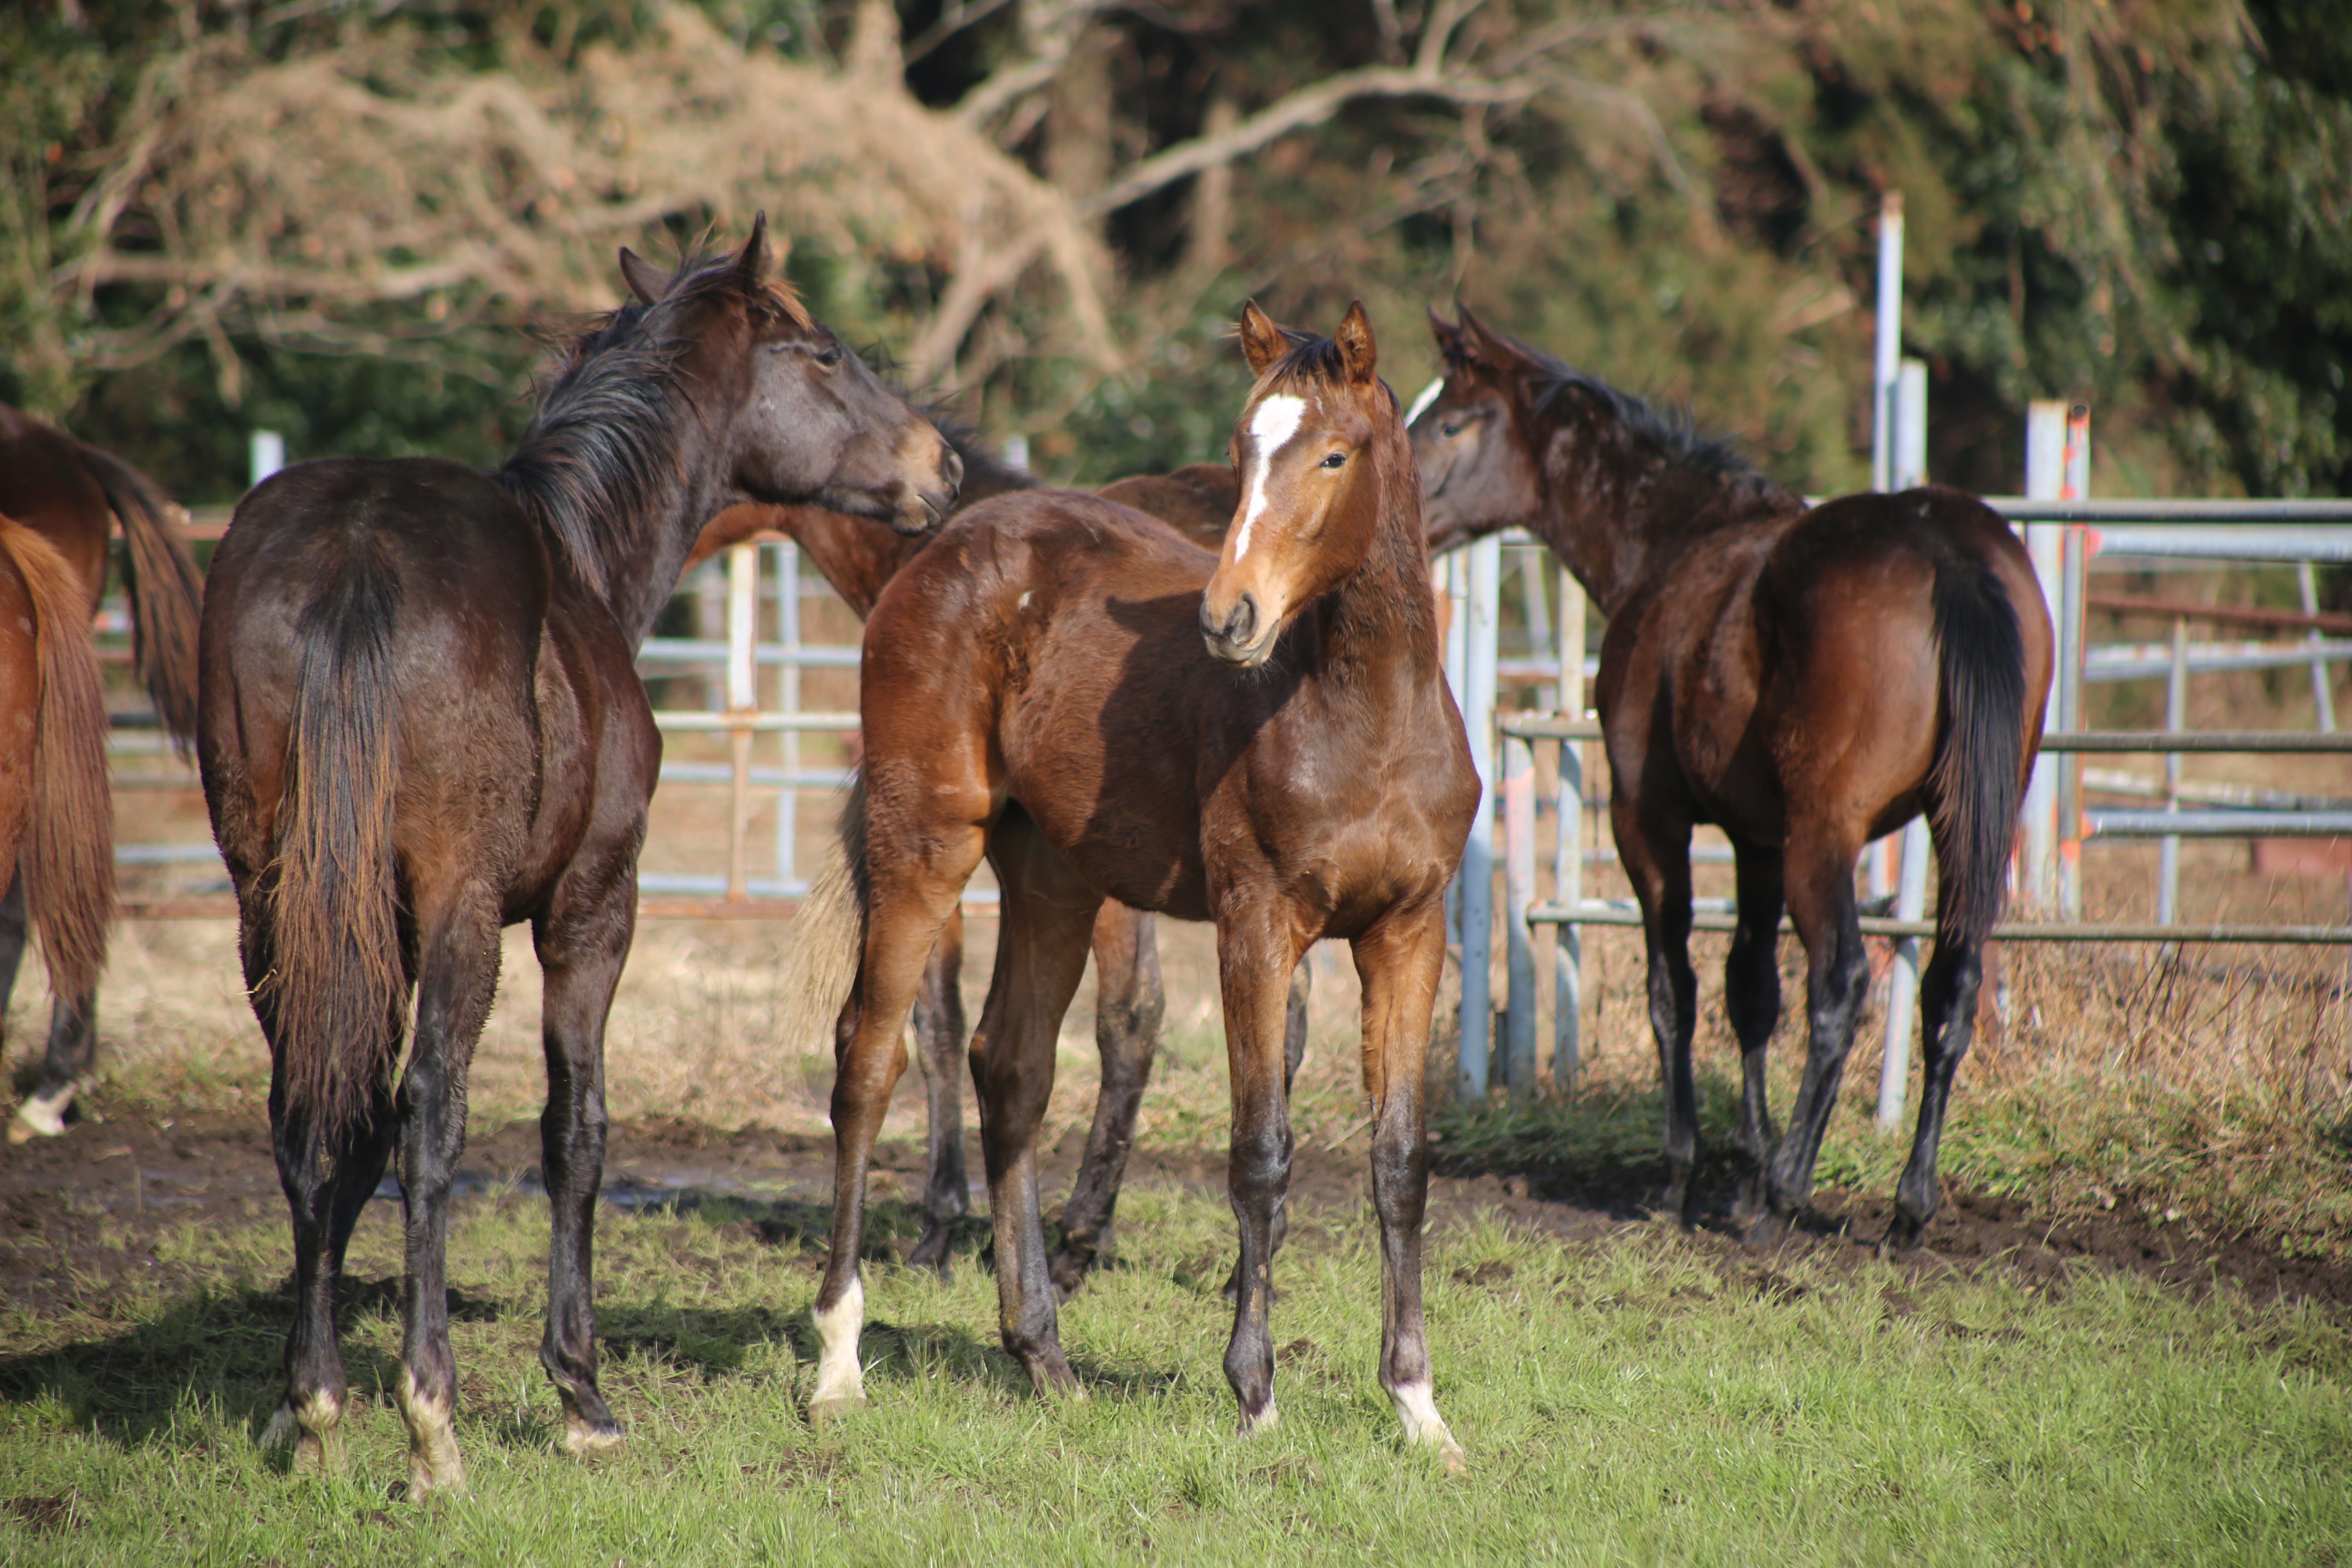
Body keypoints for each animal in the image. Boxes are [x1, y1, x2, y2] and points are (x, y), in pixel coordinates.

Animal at [197, 223, 955, 1495]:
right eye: (824, 355)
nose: (939, 467)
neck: (578, 557)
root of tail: (358, 547)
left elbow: (346, 1141)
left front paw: (302, 1404)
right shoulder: (592, 913)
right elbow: (573, 1131)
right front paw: (578, 1391)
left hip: (275, 901)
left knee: (308, 1118)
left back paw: (316, 1406)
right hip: (457, 916)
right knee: (430, 1116)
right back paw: (433, 1422)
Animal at [790, 303, 1468, 1457]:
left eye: (1334, 455)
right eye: (1240, 452)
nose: (1230, 618)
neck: (1369, 719)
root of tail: (941, 550)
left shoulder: (1407, 932)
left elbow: (1400, 1161)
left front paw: (1419, 1408)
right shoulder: (1257, 924)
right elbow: (1261, 1151)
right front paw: (1255, 1396)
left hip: (1051, 879)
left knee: (1010, 1066)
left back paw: (1044, 1356)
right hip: (925, 841)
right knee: (870, 1059)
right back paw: (840, 1362)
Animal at [1401, 312, 2051, 1241]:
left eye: (1452, 422)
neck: (1677, 544)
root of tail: (1942, 552)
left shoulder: (1648, 821)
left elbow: (1674, 989)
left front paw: (1689, 1176)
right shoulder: (1756, 841)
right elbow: (1751, 993)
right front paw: (1743, 1168)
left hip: (1827, 835)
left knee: (1842, 984)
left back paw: (1788, 1191)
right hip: (1961, 826)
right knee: (1951, 988)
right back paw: (1908, 1205)